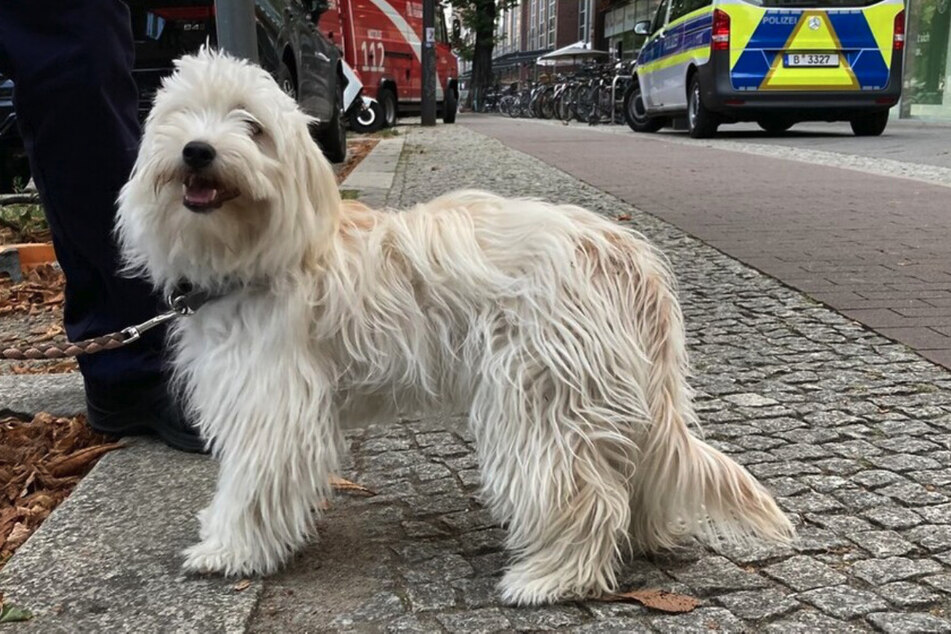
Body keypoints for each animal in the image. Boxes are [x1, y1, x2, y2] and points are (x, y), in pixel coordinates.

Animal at [113, 48, 796, 604]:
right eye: (180, 118)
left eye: (251, 126)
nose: (198, 151)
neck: (263, 253)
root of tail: (621, 249)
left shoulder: (273, 408)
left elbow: (252, 484)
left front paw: (229, 549)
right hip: (608, 394)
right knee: (633, 475)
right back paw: (643, 538)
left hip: (540, 397)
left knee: (585, 493)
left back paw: (551, 578)